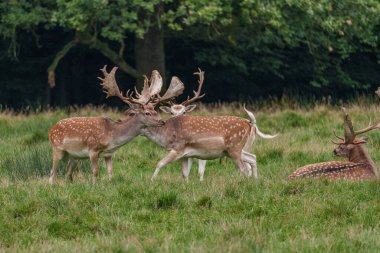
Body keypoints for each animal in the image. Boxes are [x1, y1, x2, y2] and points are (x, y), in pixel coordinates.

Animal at [48, 65, 178, 184]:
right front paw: (94, 187)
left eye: (155, 111)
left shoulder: (109, 154)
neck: (112, 136)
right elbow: (95, 172)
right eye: (147, 113)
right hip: (57, 149)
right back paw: (51, 185)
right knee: (52, 172)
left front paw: (109, 184)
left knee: (67, 172)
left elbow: (110, 172)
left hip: (73, 156)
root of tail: (51, 130)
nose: (162, 121)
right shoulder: (93, 150)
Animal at [141, 68, 278, 181]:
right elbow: (186, 172)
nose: (177, 120)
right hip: (236, 150)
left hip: (236, 147)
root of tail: (250, 123)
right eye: (171, 112)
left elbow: (198, 170)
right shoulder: (188, 154)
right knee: (252, 158)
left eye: (184, 111)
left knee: (244, 167)